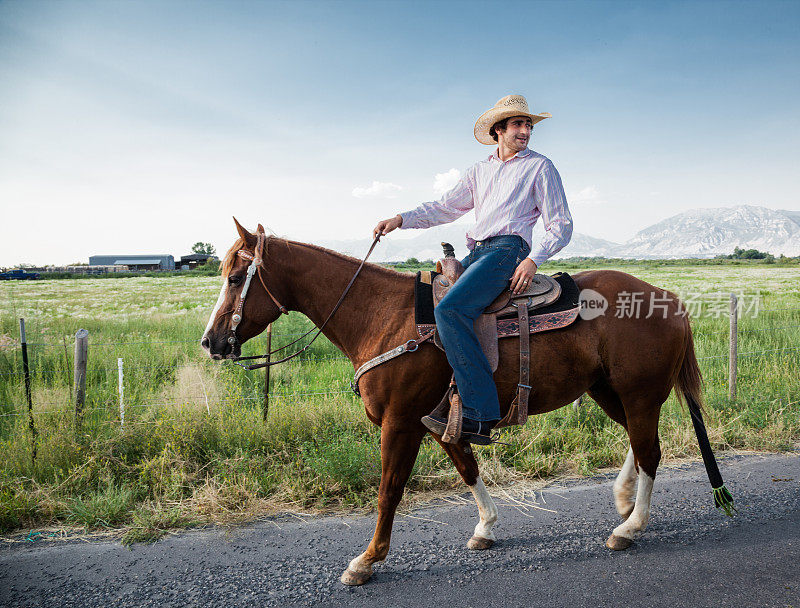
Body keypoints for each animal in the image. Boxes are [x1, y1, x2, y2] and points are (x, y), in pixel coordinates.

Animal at [203, 221, 708, 588]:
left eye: (235, 277)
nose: (211, 343)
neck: (383, 318)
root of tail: (670, 300)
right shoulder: (437, 420)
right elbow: (468, 468)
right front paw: (486, 527)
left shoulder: (401, 423)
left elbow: (389, 491)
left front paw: (367, 561)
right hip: (609, 391)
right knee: (637, 444)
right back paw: (622, 500)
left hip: (639, 393)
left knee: (650, 451)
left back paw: (630, 527)